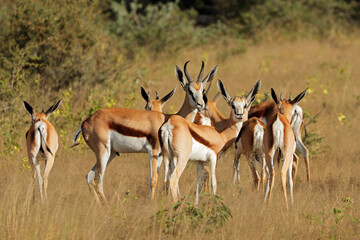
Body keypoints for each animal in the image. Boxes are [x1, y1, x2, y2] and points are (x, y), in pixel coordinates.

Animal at [73, 61, 217, 203]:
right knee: (97, 180)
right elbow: (153, 180)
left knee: (89, 176)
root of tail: (85, 122)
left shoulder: (161, 155)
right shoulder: (153, 151)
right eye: (190, 90)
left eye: (202, 89)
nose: (201, 105)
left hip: (111, 153)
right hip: (103, 152)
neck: (167, 118)